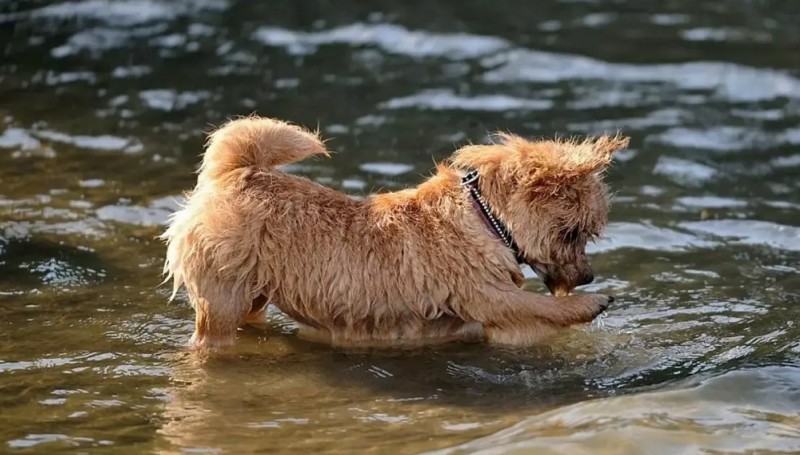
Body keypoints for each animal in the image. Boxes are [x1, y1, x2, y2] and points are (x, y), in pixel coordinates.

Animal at [159, 116, 628, 350]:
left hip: (256, 296)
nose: (587, 276)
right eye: (573, 233)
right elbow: (542, 307)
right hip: (223, 299)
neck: (484, 218)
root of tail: (234, 174)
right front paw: (591, 303)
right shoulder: (490, 297)